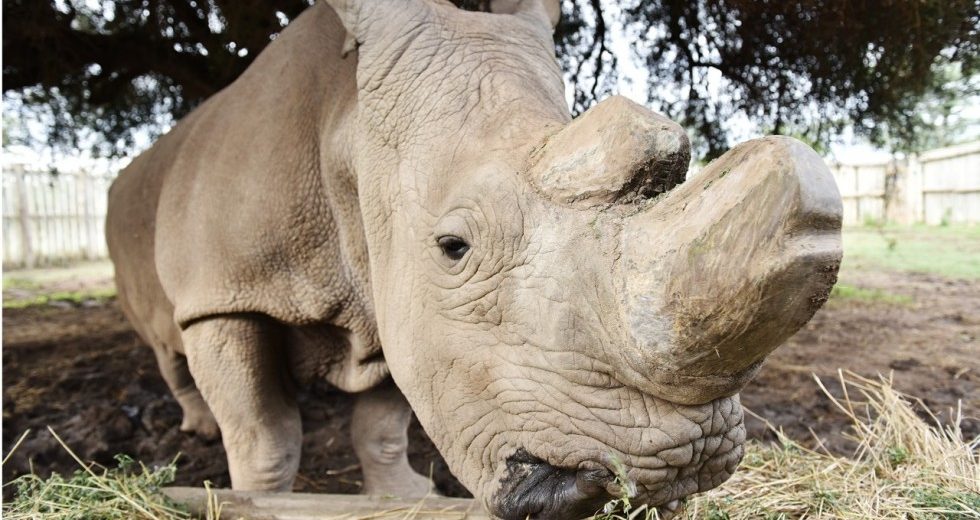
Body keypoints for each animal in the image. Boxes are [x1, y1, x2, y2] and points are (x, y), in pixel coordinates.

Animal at [106, 0, 842, 518]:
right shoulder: (224, 294)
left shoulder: (389, 285)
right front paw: (257, 500)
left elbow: (384, 417)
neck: (345, 125)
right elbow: (264, 434)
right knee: (166, 341)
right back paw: (198, 426)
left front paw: (405, 498)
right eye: (454, 248)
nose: (681, 465)